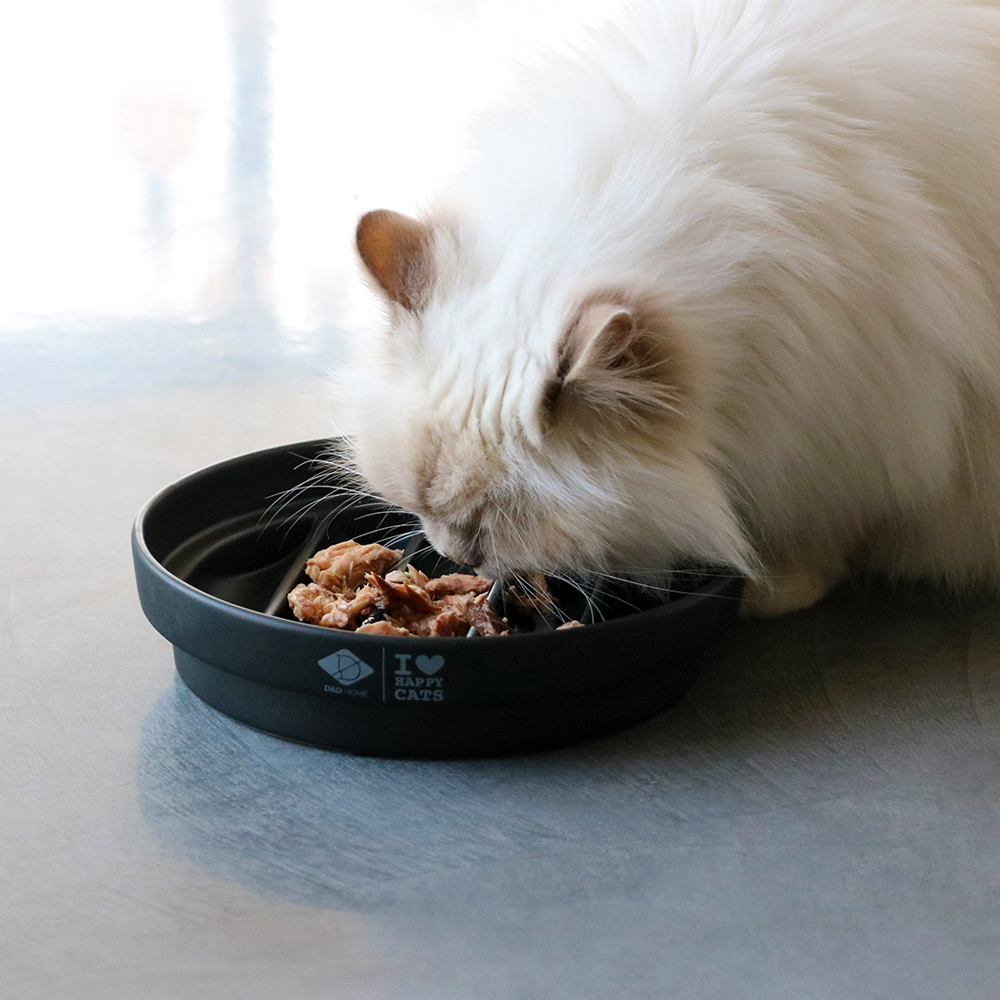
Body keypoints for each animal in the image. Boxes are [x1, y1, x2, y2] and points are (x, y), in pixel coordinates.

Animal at [332, 0, 1000, 612]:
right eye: (420, 505)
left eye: (496, 524)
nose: (456, 552)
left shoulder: (874, 425)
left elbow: (829, 525)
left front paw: (773, 589)